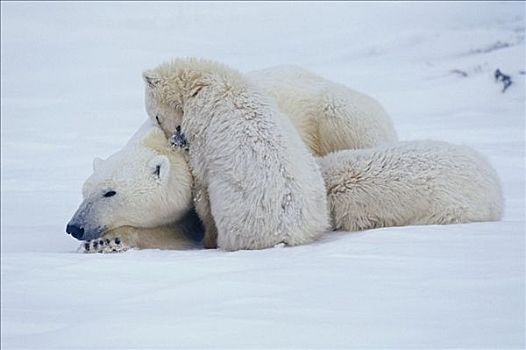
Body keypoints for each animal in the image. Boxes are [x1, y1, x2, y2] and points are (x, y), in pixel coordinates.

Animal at [143, 58, 330, 249]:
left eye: (157, 117)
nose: (173, 141)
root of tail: (288, 233)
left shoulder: (201, 132)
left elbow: (202, 179)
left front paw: (208, 238)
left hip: (237, 211)